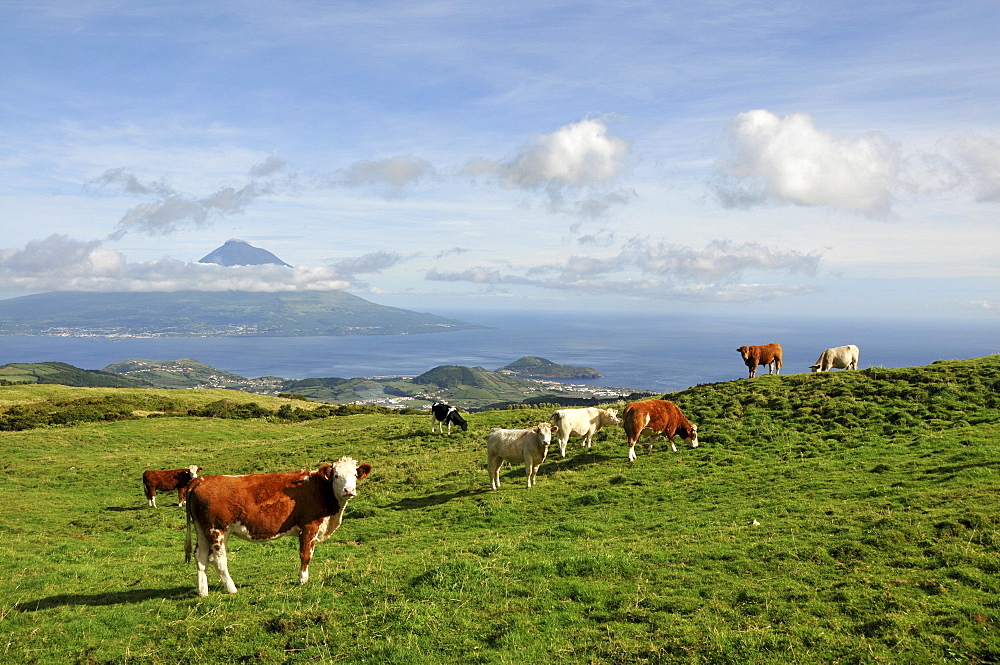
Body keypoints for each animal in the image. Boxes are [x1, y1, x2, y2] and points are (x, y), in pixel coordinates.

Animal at [183, 456, 372, 596]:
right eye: (336, 476)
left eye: (355, 475)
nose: (348, 490)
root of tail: (202, 480)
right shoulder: (309, 527)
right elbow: (305, 555)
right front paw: (303, 580)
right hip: (217, 530)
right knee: (219, 559)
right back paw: (231, 589)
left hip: (202, 529)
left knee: (200, 557)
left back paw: (203, 592)